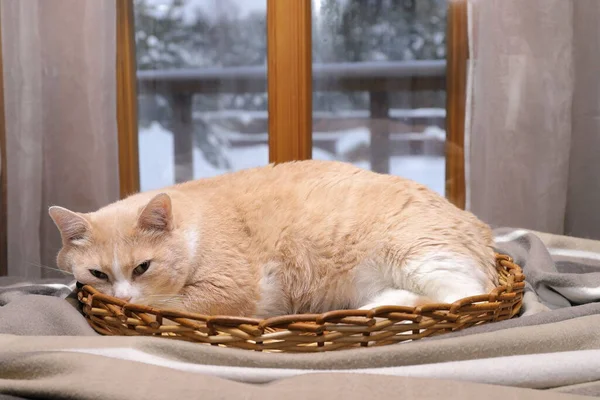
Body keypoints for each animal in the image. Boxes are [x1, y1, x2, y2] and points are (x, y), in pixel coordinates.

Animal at [48, 159, 496, 318]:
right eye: (98, 275)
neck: (196, 223)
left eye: (142, 267)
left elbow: (173, 303)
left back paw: (381, 306)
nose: (122, 298)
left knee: (460, 294)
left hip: (420, 257)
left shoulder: (231, 289)